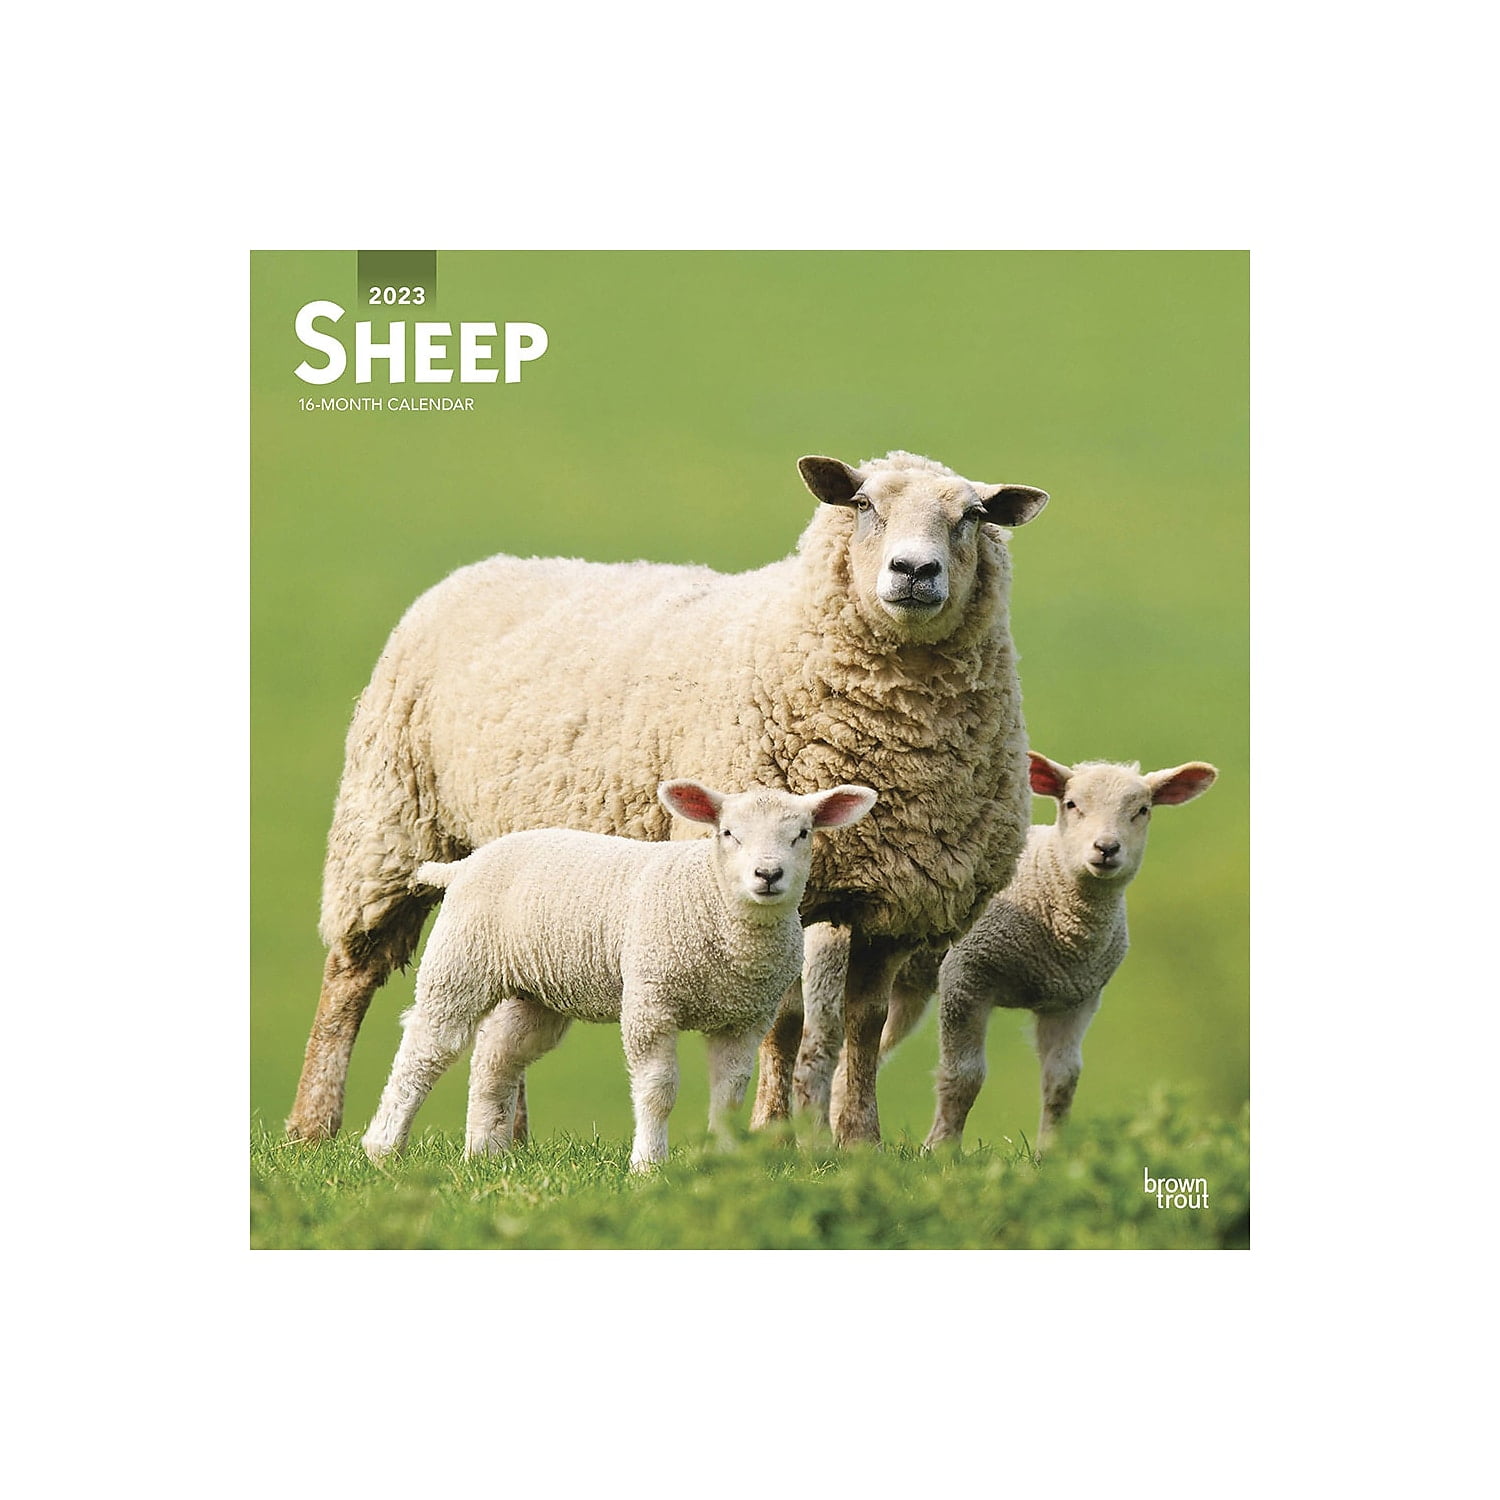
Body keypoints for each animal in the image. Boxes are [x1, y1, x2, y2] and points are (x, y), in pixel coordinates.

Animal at [359, 779, 877, 1169]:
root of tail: (462, 865)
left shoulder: (745, 1019)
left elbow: (729, 1093)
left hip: (535, 992)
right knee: (425, 1050)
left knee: (497, 1057)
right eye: (728, 833)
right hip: (460, 963)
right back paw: (382, 1149)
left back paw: (485, 1153)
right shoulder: (651, 1001)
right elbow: (658, 1090)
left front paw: (725, 1160)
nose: (767, 875)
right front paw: (647, 1164)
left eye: (803, 834)